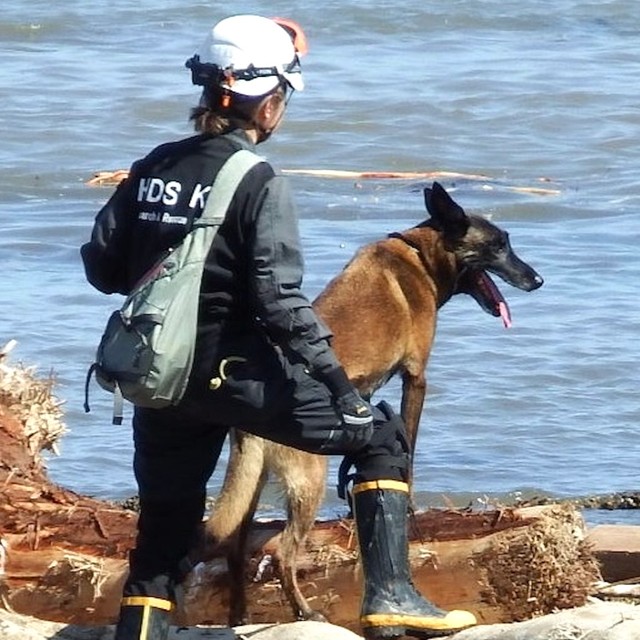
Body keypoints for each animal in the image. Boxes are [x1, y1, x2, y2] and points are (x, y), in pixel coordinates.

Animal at [204, 182, 540, 624]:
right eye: (499, 246)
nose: (538, 279)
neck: (420, 255)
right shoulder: (415, 379)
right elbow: (409, 451)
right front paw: (410, 507)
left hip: (252, 482)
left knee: (236, 547)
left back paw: (240, 616)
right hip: (309, 478)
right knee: (282, 551)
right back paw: (304, 611)